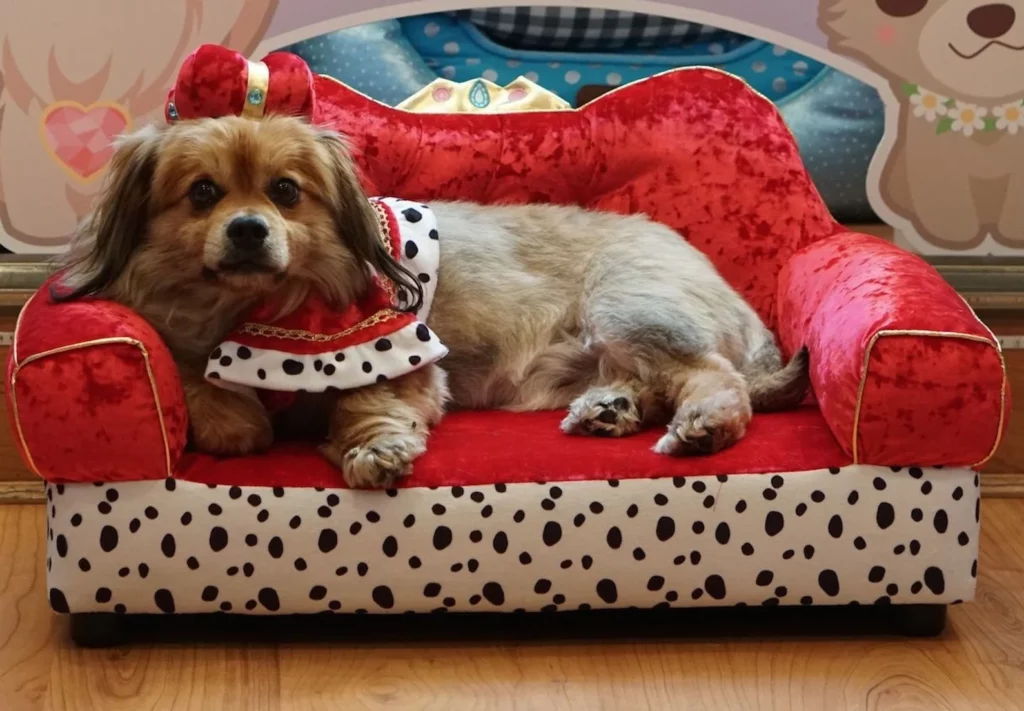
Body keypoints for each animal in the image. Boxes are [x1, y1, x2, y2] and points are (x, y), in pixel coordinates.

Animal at [58, 115, 806, 489]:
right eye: (204, 193)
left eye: (285, 191)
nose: (248, 229)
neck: (256, 313)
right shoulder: (183, 335)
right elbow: (202, 385)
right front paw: (231, 410)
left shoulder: (390, 359)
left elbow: (363, 409)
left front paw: (372, 451)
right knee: (650, 383)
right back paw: (610, 410)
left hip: (625, 309)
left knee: (714, 376)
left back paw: (705, 424)